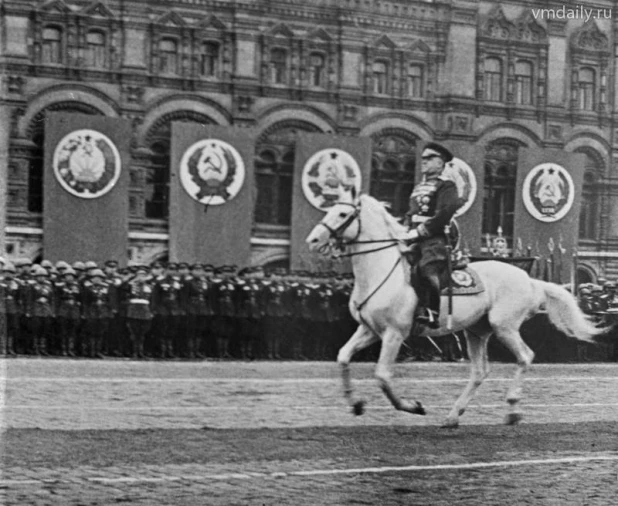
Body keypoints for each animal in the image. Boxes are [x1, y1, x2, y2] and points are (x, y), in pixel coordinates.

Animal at [304, 188, 600, 424]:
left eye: (343, 214)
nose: (313, 240)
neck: (381, 272)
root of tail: (530, 279)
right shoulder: (368, 330)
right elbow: (343, 356)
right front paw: (355, 403)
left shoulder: (394, 334)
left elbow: (383, 376)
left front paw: (413, 406)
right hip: (476, 331)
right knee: (480, 371)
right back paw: (453, 415)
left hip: (504, 327)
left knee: (525, 356)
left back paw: (512, 409)